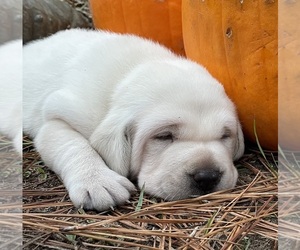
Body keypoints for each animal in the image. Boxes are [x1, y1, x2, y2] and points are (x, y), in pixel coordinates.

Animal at [0, 29, 244, 211]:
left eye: (225, 136)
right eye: (164, 136)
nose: (207, 176)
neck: (130, 71)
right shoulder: (57, 115)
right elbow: (73, 145)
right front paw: (97, 180)